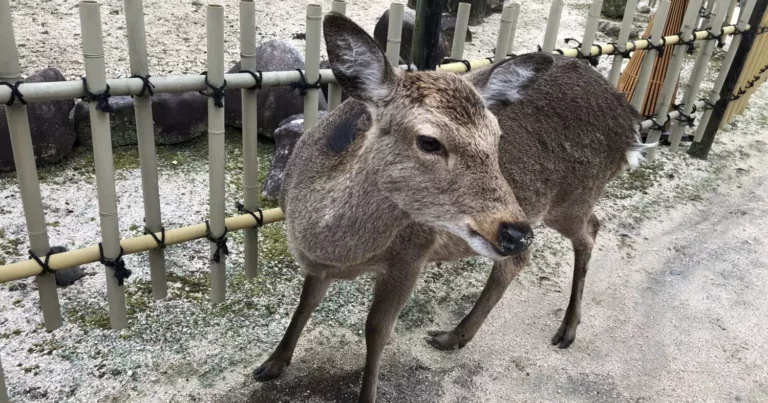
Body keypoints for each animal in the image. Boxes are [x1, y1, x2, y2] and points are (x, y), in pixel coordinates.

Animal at [252, 12, 646, 403]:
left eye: (497, 137)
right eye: (429, 141)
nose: (514, 231)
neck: (332, 249)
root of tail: (631, 122)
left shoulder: (411, 256)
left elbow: (376, 331)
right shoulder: (316, 265)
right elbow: (305, 303)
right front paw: (270, 365)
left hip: (571, 200)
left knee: (590, 230)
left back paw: (566, 329)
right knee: (521, 259)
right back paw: (455, 335)